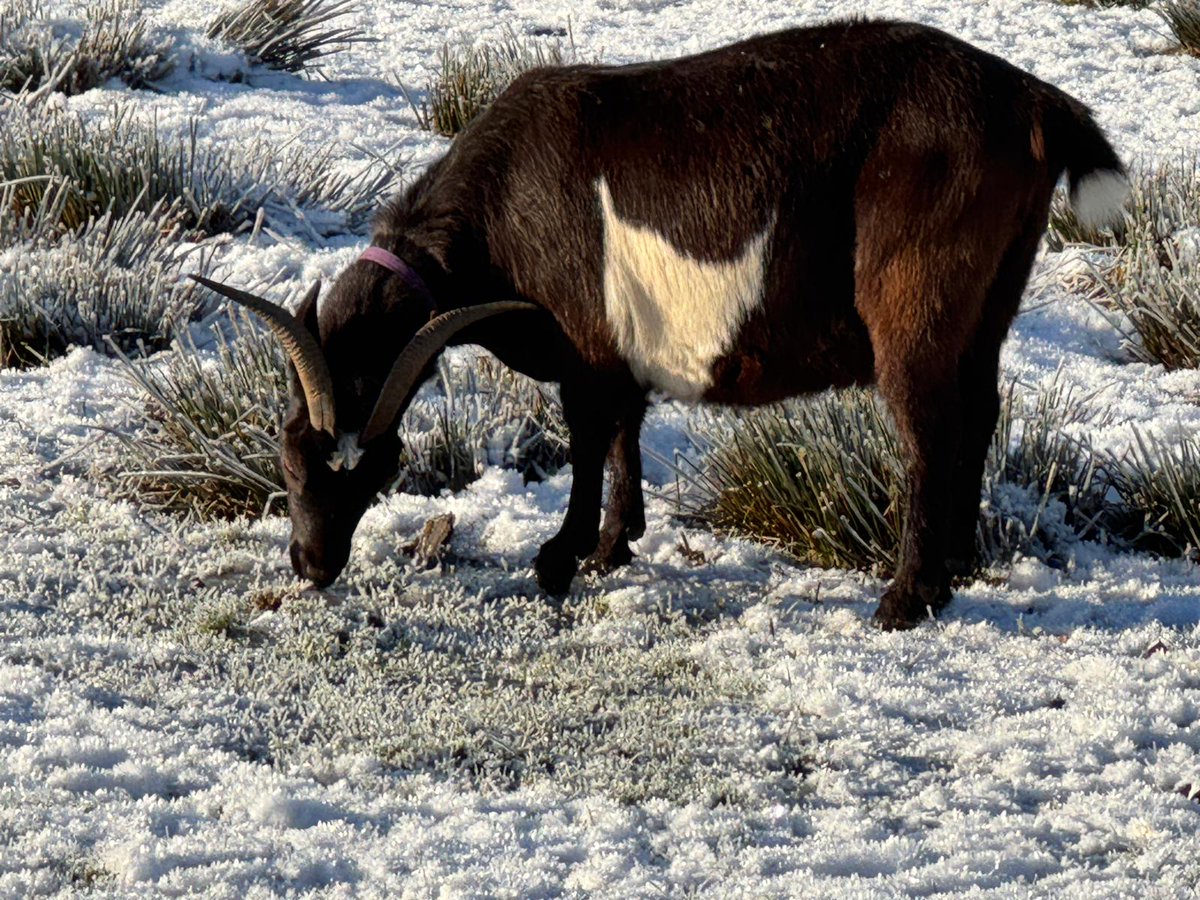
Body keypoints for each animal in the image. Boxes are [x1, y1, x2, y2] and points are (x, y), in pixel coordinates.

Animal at [195, 19, 1127, 629]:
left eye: (377, 465)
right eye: (291, 450)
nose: (312, 563)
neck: (501, 205)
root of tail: (1035, 102)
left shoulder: (583, 347)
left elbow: (584, 438)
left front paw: (559, 558)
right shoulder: (615, 356)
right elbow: (623, 435)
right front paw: (615, 545)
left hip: (916, 300)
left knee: (931, 428)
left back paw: (905, 599)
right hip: (994, 291)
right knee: (979, 412)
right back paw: (959, 567)